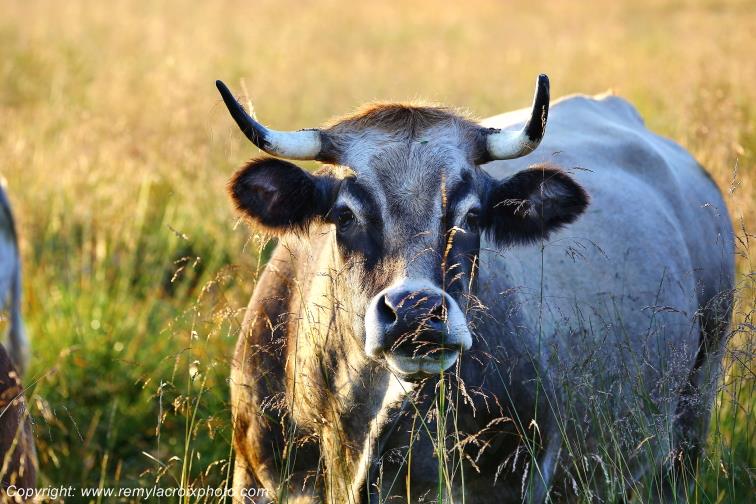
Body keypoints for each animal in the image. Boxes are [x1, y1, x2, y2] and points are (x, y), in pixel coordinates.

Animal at [216, 75, 734, 502]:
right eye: (345, 215)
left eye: (471, 215)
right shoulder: (254, 476)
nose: (416, 311)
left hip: (693, 411)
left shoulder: (512, 480)